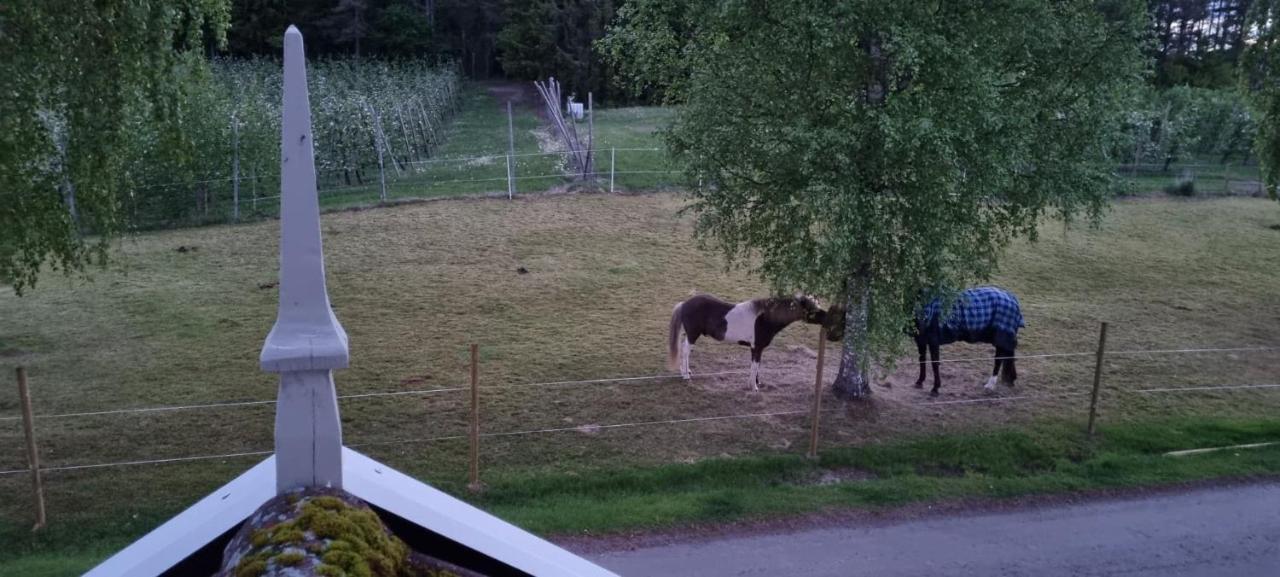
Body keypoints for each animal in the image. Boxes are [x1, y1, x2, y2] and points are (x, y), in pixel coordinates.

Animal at [665, 295, 824, 391]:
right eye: (811, 308)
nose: (827, 318)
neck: (765, 318)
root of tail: (684, 304)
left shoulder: (756, 349)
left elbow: (757, 366)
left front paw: (757, 383)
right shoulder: (757, 347)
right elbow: (755, 366)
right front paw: (753, 387)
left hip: (690, 335)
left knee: (683, 349)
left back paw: (685, 371)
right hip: (693, 335)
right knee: (686, 351)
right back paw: (686, 376)